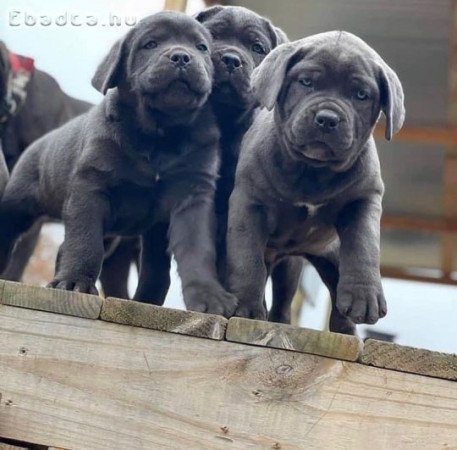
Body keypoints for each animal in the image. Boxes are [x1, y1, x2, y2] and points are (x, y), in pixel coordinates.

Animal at [226, 31, 404, 334]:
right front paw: (245, 307)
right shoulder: (249, 203)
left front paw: (364, 297)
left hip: (317, 258)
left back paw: (346, 327)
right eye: (306, 82)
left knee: (325, 288)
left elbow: (363, 246)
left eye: (361, 95)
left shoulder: (364, 200)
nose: (328, 119)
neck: (312, 171)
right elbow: (246, 256)